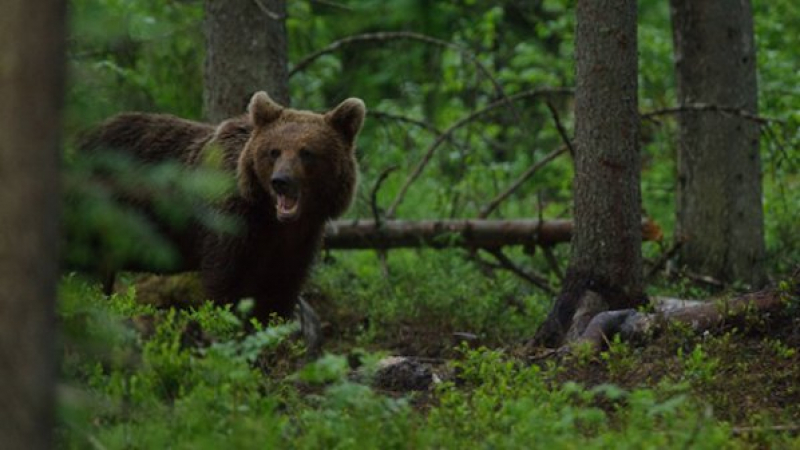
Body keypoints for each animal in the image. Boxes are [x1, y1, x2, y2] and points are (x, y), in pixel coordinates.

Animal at [79, 91, 368, 320]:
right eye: (274, 152)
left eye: (306, 152)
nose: (281, 181)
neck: (271, 218)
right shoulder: (232, 224)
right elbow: (227, 285)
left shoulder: (299, 240)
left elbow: (281, 289)